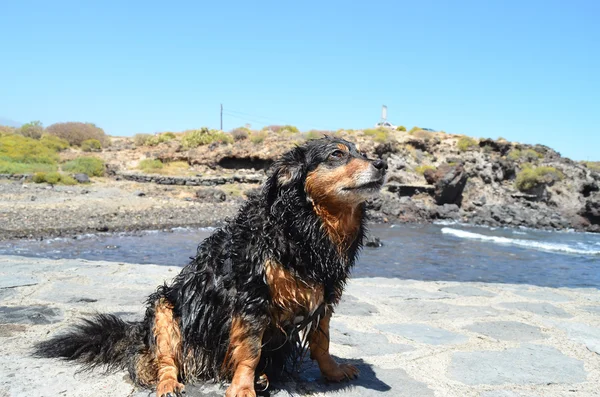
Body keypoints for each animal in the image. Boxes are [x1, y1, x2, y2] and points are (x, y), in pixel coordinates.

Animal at [34, 135, 390, 394]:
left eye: (362, 151)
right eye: (336, 155)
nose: (382, 164)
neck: (307, 226)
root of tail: (135, 337)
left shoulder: (325, 294)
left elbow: (322, 340)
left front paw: (333, 371)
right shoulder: (251, 298)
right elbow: (249, 351)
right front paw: (243, 387)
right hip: (164, 312)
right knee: (163, 364)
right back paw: (171, 384)